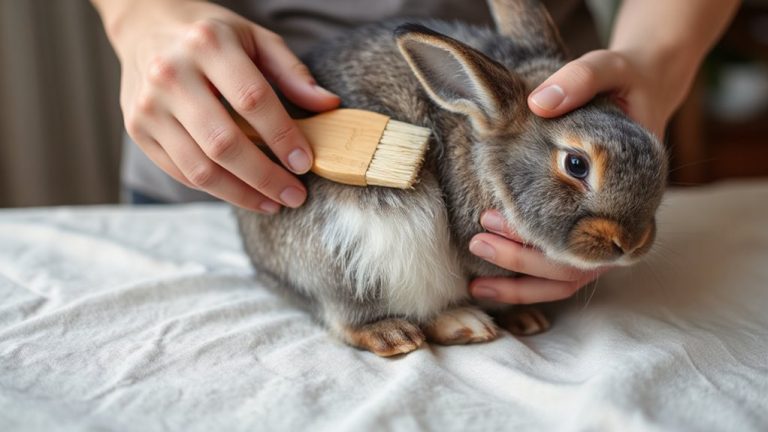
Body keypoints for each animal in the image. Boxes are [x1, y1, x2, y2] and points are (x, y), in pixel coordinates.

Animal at [234, 0, 668, 357]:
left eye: (654, 146)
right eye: (576, 164)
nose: (631, 242)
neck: (484, 164)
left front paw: (526, 319)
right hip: (354, 255)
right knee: (348, 316)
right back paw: (421, 330)